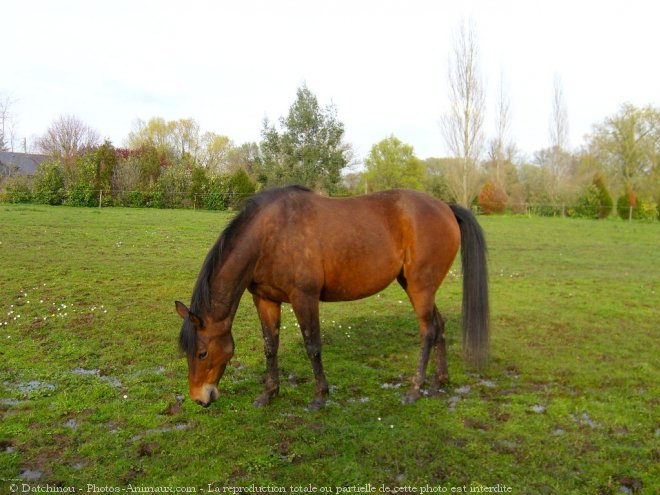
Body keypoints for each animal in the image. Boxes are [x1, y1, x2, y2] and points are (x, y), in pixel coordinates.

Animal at [177, 186, 490, 410]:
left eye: (202, 353)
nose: (199, 398)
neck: (269, 236)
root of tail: (445, 207)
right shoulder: (266, 300)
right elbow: (270, 347)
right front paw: (269, 394)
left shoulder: (304, 298)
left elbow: (313, 346)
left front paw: (320, 396)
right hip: (416, 286)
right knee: (439, 326)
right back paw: (440, 381)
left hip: (420, 287)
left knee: (427, 331)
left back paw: (415, 389)